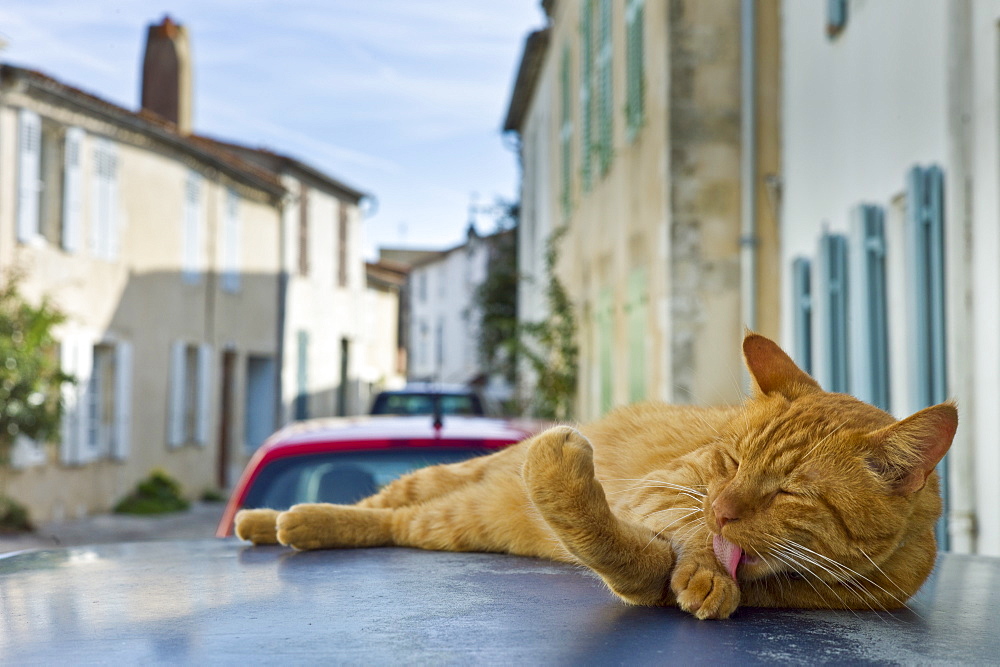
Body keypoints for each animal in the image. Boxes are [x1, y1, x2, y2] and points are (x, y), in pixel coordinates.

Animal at [232, 336, 952, 624]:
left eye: (789, 491)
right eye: (730, 463)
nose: (723, 509)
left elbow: (647, 566)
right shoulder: (668, 487)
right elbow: (674, 533)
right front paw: (704, 562)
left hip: (451, 521)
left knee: (392, 523)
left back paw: (292, 524)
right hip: (444, 479)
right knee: (380, 502)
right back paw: (272, 520)